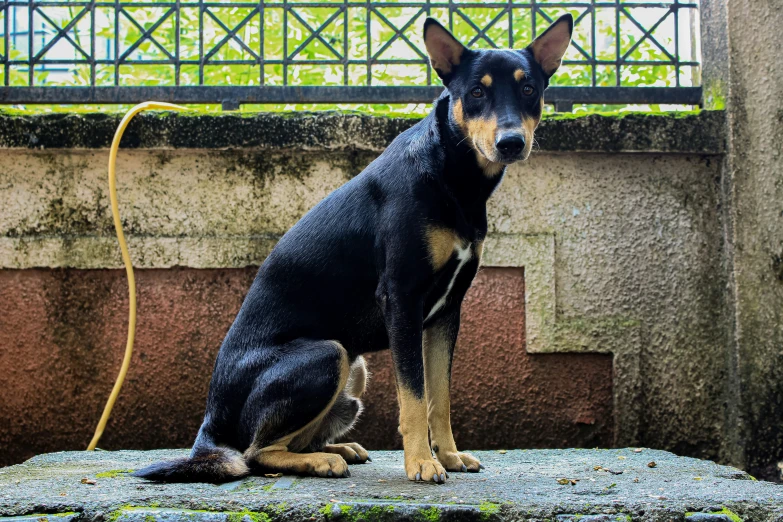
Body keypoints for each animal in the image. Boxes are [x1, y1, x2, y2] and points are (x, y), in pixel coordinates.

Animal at [135, 13, 572, 484]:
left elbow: (440, 397)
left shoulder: (447, 311)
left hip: (355, 369)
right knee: (256, 452)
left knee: (291, 440)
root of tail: (209, 423)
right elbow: (414, 396)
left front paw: (450, 454)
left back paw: (337, 448)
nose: (511, 142)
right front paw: (422, 462)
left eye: (529, 89)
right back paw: (321, 460)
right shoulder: (402, 300)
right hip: (329, 354)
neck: (453, 177)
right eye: (476, 92)